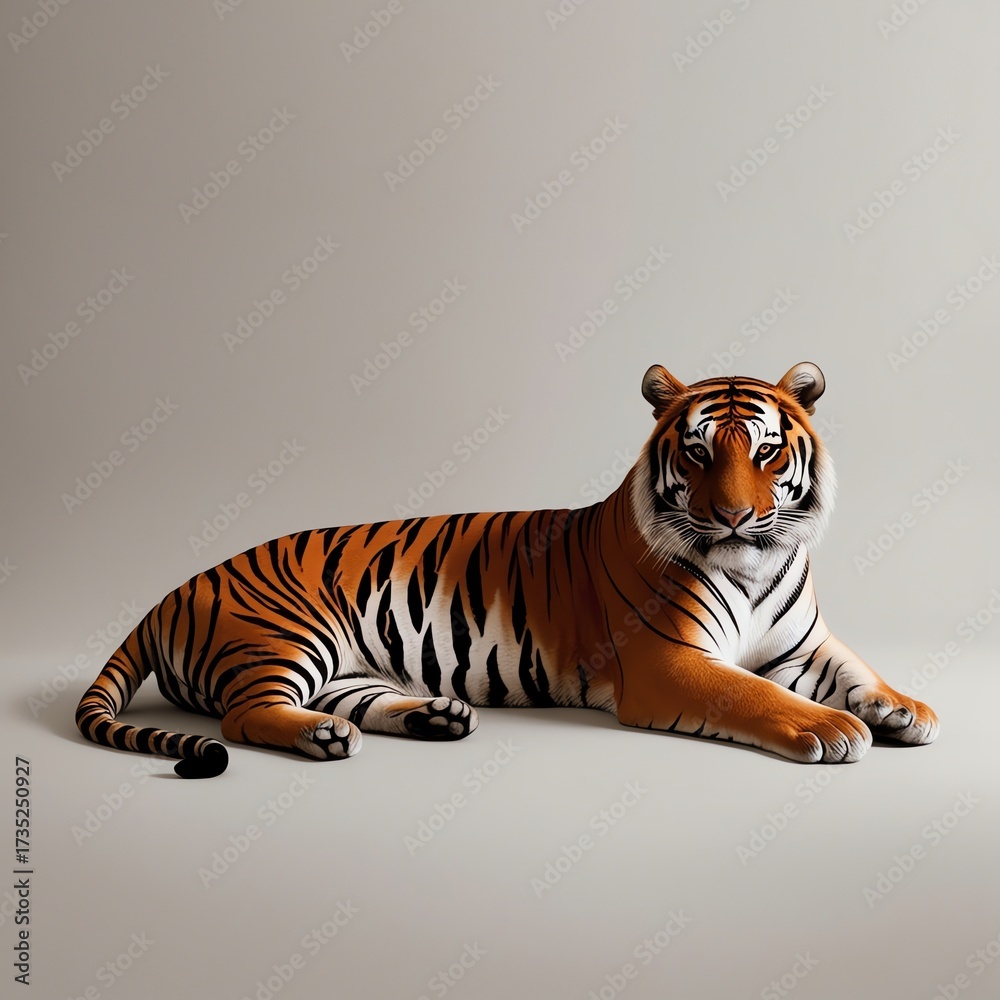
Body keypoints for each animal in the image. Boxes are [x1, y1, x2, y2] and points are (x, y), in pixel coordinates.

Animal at [75, 361, 939, 777]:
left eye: (764, 452)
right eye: (697, 452)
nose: (732, 516)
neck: (755, 567)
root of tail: (169, 591)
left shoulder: (803, 643)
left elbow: (856, 669)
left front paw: (904, 710)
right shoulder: (669, 662)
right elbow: (753, 693)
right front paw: (831, 727)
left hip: (344, 665)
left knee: (350, 702)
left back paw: (431, 717)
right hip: (284, 635)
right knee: (241, 717)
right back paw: (321, 738)